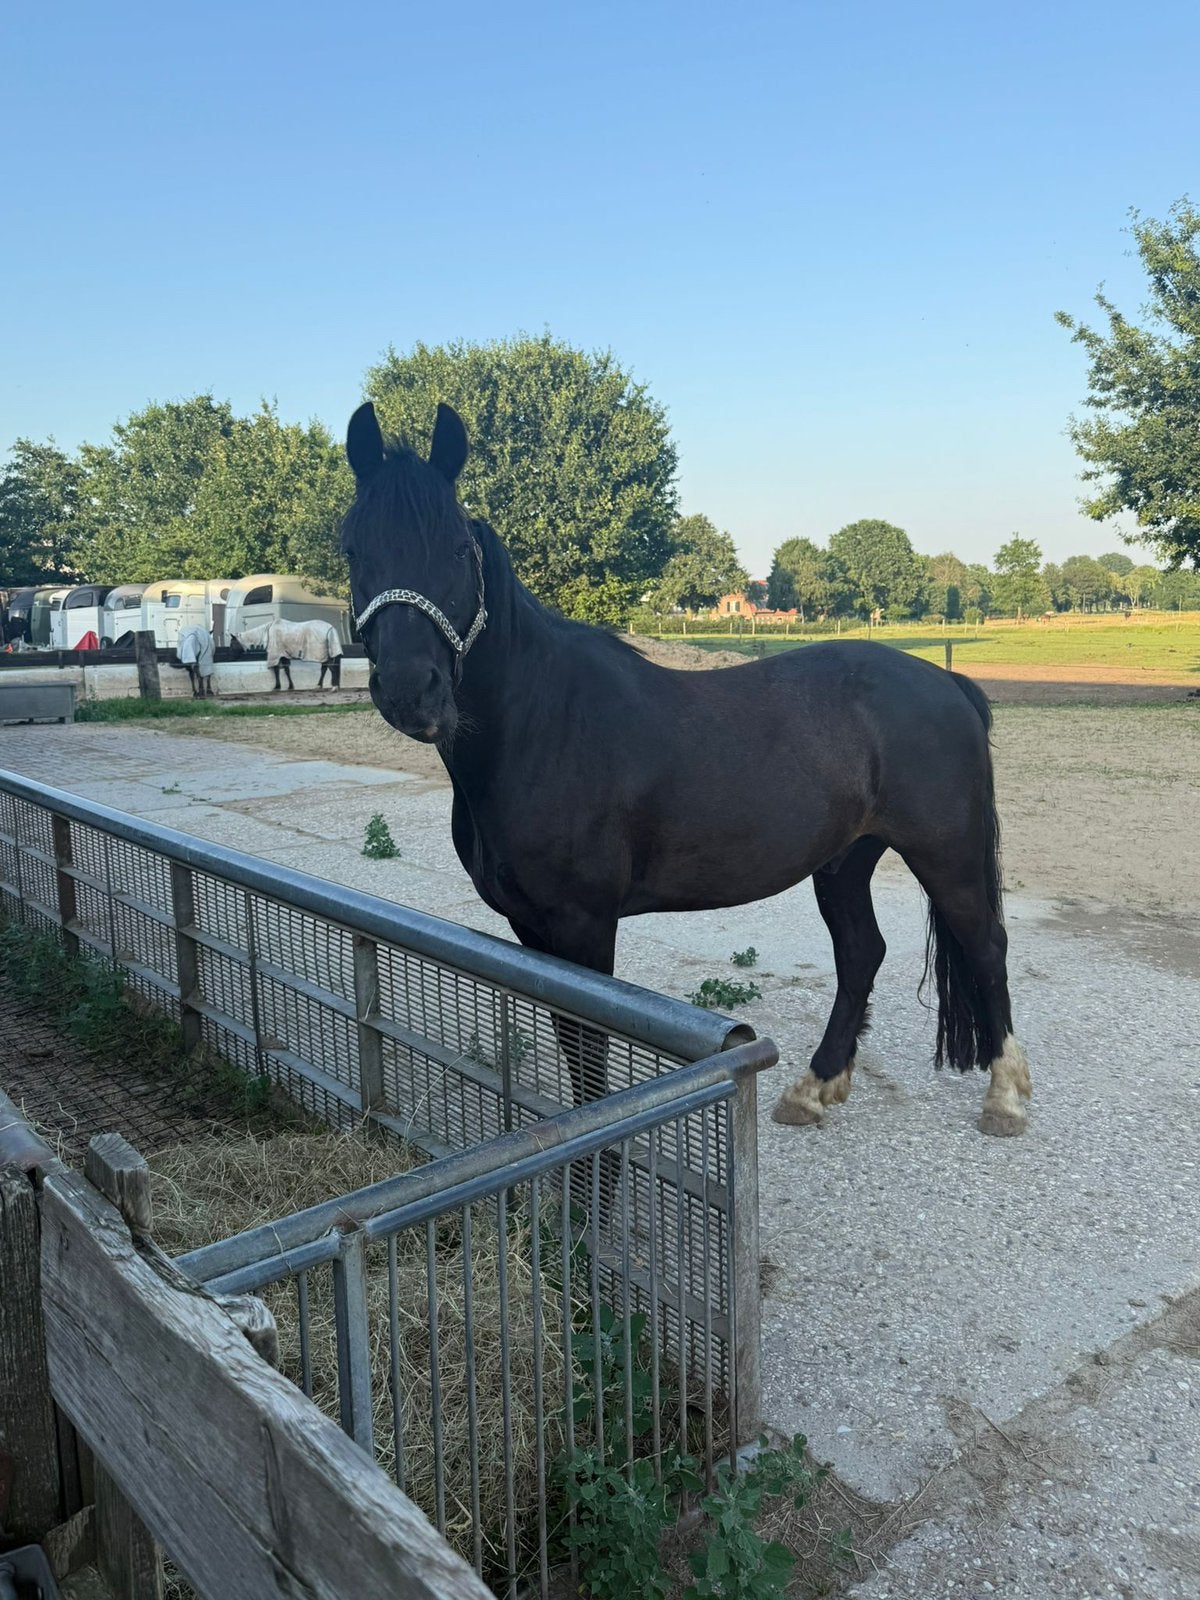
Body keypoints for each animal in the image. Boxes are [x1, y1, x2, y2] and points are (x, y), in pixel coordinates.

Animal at [341, 401, 1031, 1138]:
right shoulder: (532, 927)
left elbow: (589, 1053)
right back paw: (815, 1087)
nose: (412, 691)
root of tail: (947, 681)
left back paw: (1006, 1098)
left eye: (458, 549)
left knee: (986, 945)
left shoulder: (583, 922)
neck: (542, 722)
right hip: (845, 859)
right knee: (860, 954)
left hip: (946, 854)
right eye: (353, 548)